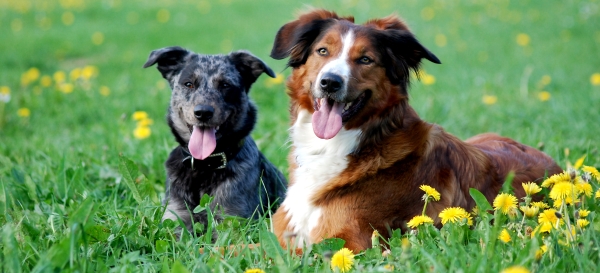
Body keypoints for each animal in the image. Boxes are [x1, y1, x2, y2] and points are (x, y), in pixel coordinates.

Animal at [144, 46, 288, 232]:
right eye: (188, 84)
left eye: (225, 85)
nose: (203, 112)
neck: (204, 165)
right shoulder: (175, 216)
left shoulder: (232, 220)